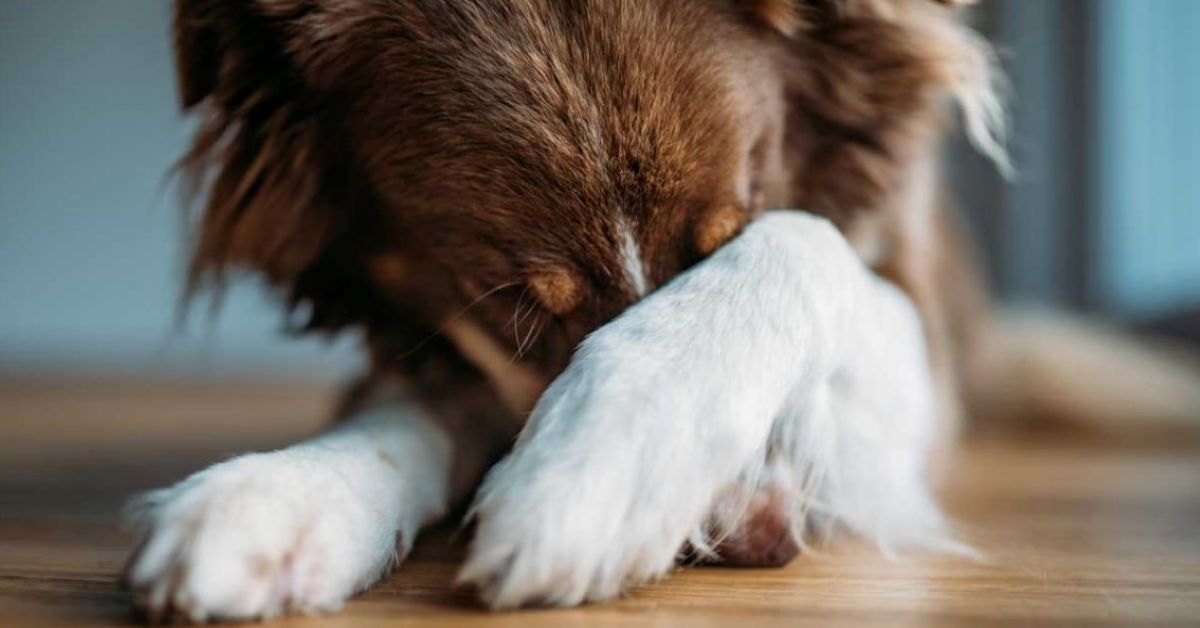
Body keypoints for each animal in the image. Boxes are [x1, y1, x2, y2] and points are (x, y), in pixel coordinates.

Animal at [117, 0, 1195, 619]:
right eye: (515, 313)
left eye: (727, 228)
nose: (743, 539)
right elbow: (407, 406)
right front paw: (281, 495)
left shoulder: (920, 353)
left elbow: (804, 238)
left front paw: (605, 463)